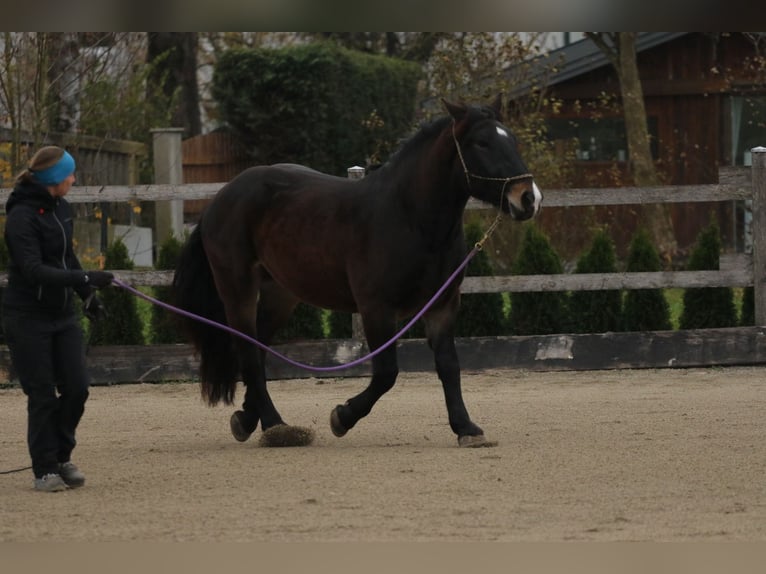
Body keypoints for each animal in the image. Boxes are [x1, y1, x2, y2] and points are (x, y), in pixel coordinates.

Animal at [172, 94, 542, 448]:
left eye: (512, 140)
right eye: (482, 143)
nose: (528, 198)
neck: (409, 217)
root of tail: (221, 198)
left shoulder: (443, 304)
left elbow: (449, 365)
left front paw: (466, 428)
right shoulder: (376, 307)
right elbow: (386, 372)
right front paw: (343, 416)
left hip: (281, 294)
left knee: (257, 348)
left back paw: (251, 421)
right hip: (238, 288)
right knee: (248, 352)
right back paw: (277, 427)